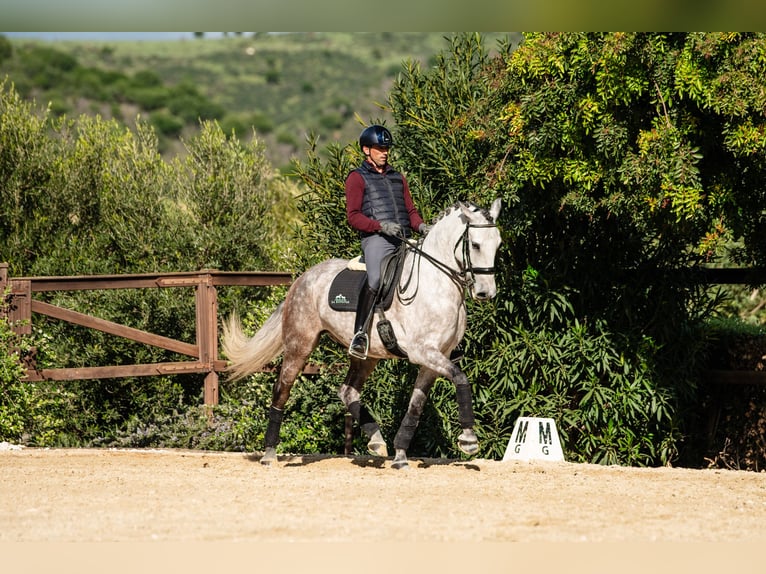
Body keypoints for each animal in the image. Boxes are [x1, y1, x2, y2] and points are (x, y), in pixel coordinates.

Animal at [220, 200, 504, 470]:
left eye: (498, 244)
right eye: (475, 245)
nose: (486, 292)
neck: (436, 283)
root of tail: (302, 278)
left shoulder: (434, 359)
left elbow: (416, 406)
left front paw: (400, 455)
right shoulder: (423, 352)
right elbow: (461, 379)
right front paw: (469, 439)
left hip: (366, 355)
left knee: (347, 391)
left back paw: (376, 441)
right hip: (299, 344)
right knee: (281, 389)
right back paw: (269, 454)